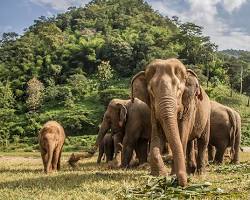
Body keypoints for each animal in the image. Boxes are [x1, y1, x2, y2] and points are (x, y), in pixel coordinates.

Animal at [131, 58, 211, 187]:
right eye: (151, 91)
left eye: (179, 89)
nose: (183, 183)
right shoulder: (153, 110)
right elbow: (157, 134)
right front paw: (159, 176)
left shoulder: (189, 106)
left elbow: (182, 133)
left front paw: (173, 175)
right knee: (190, 141)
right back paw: (191, 171)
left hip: (207, 115)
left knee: (203, 141)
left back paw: (200, 173)